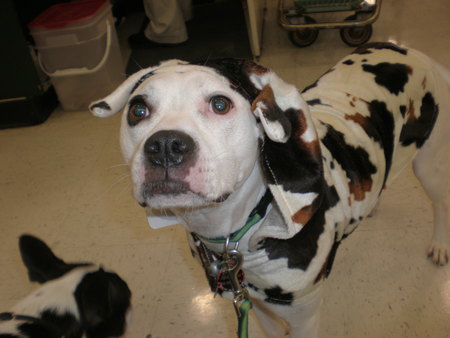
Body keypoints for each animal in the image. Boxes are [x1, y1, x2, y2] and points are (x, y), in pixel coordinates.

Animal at [89, 43, 448, 338]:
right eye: (138, 110)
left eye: (221, 104)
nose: (165, 146)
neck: (236, 236)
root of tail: (410, 50)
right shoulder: (250, 302)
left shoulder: (305, 317)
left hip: (428, 166)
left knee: (441, 202)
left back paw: (440, 245)